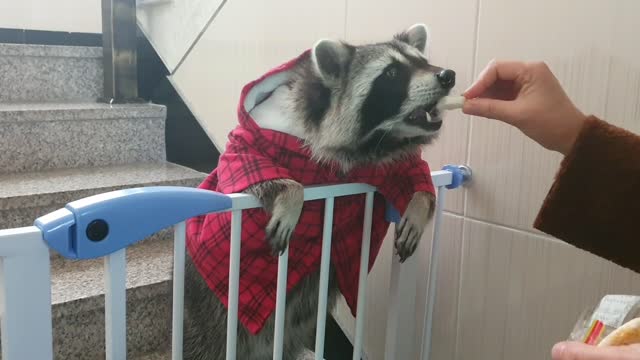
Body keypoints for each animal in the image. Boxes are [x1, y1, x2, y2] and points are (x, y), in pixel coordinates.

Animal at [184, 23, 456, 358]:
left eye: (421, 61)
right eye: (392, 73)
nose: (447, 76)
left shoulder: (382, 161)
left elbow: (413, 170)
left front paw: (418, 203)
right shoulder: (254, 143)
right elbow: (246, 166)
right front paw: (290, 195)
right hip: (209, 311)